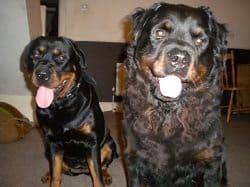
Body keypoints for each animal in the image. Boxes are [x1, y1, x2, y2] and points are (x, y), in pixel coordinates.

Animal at [22, 36, 117, 187]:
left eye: (61, 57)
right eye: (35, 55)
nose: (42, 74)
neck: (62, 105)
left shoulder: (92, 142)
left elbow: (97, 176)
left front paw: (101, 178)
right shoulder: (53, 142)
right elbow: (55, 172)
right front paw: (52, 178)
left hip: (109, 143)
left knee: (104, 165)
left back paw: (107, 175)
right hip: (46, 148)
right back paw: (48, 174)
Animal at [124, 2, 228, 187]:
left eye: (200, 40)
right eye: (160, 33)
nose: (179, 58)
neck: (169, 114)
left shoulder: (212, 163)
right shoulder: (134, 159)